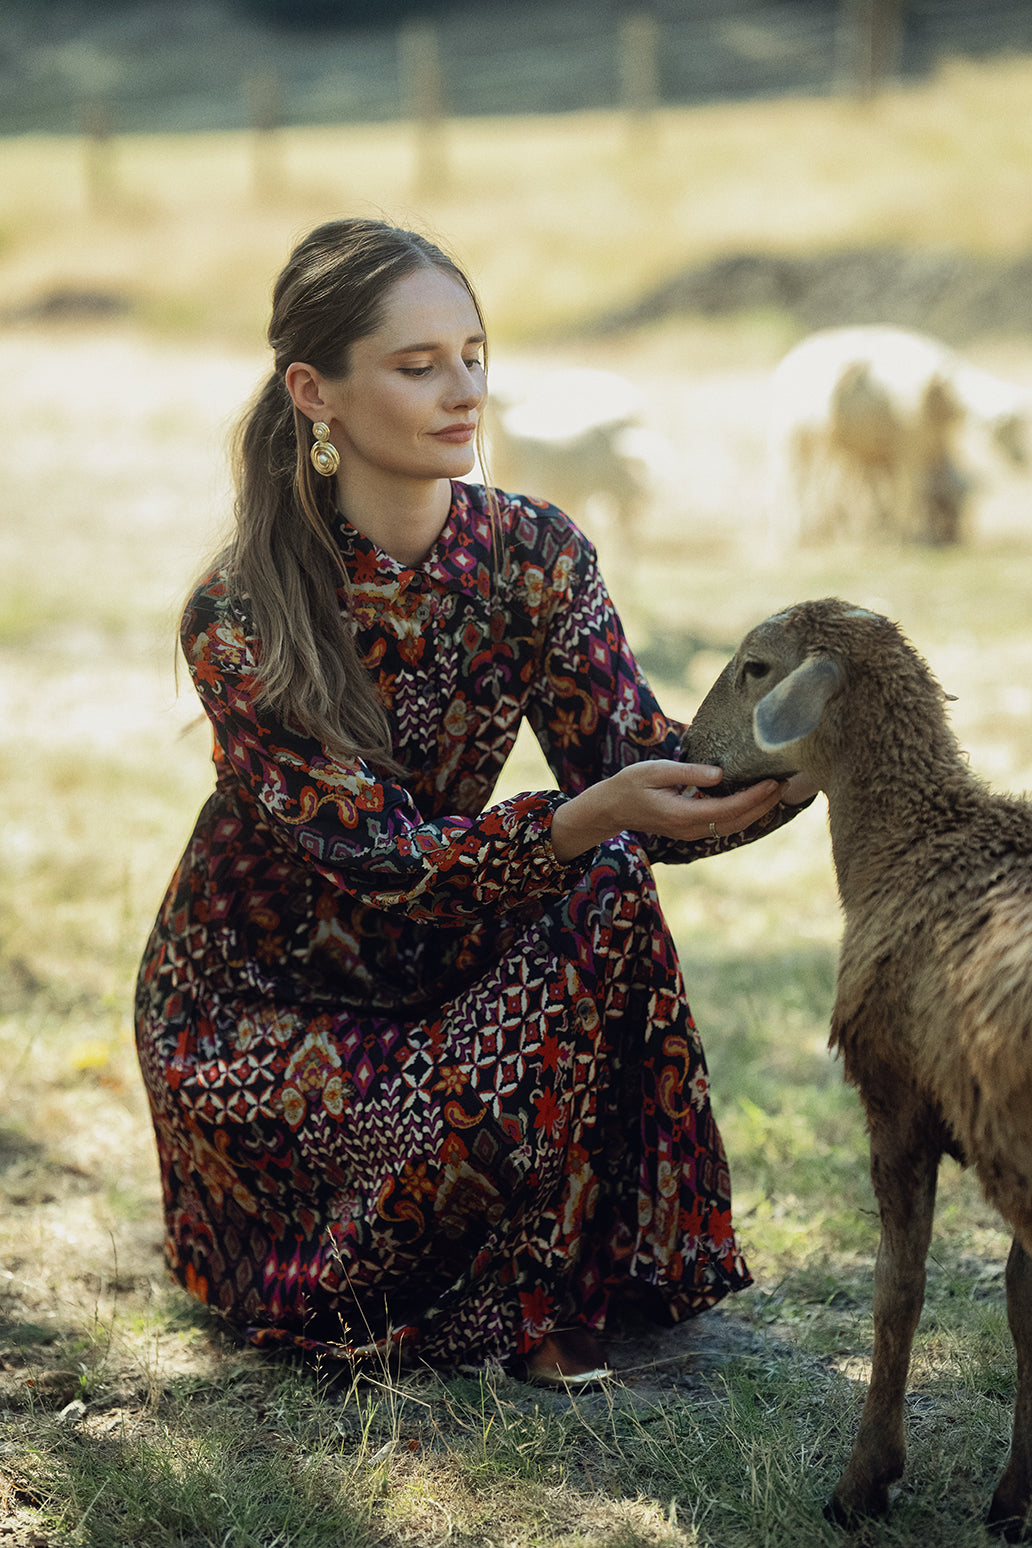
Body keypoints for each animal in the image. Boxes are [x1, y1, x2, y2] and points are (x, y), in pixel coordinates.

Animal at [680, 591, 1032, 1535]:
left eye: (755, 668)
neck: (914, 839)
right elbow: (1022, 1303)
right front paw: (1014, 1499)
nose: (684, 753)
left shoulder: (897, 1099)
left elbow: (896, 1293)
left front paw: (863, 1484)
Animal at [770, 326, 1027, 551]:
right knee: (799, 486)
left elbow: (887, 492)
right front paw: (911, 538)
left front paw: (885, 531)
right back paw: (803, 537)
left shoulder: (885, 453)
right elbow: (910, 492)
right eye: (1007, 426)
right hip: (807, 443)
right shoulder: (908, 448)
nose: (1020, 458)